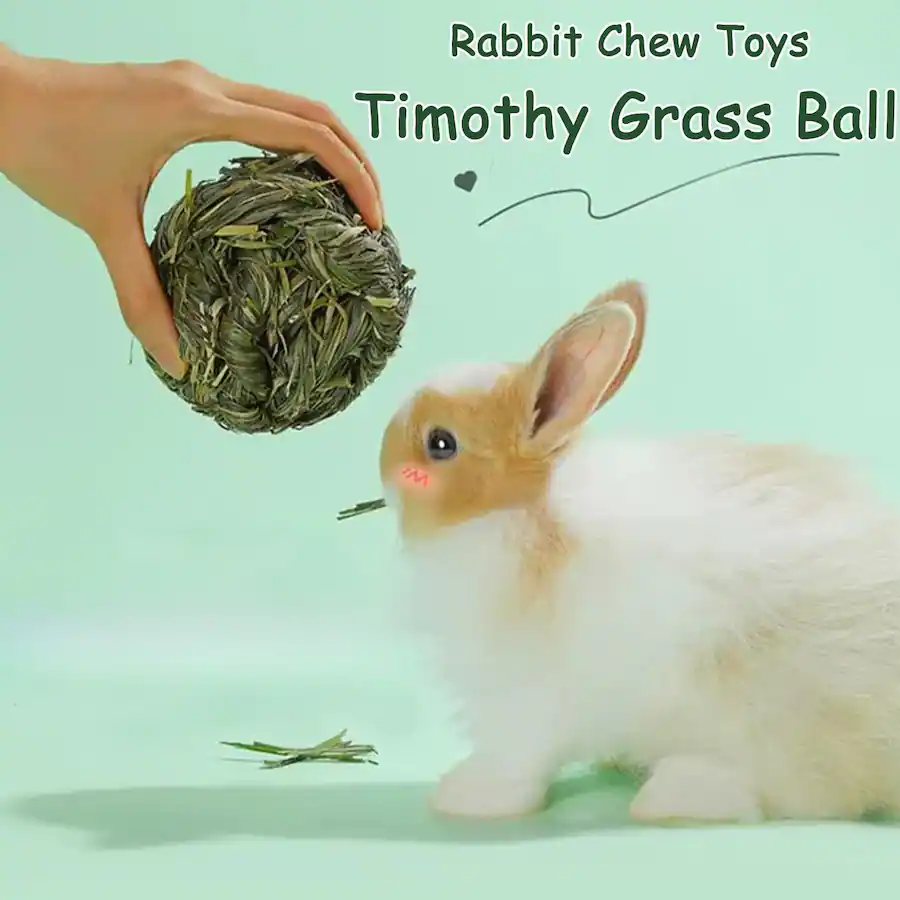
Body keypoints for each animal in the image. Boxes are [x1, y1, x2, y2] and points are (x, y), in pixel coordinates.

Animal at [377, 279, 900, 825]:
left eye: (441, 443)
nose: (382, 461)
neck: (523, 514)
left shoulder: (521, 697)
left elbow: (514, 758)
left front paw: (466, 796)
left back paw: (673, 792)